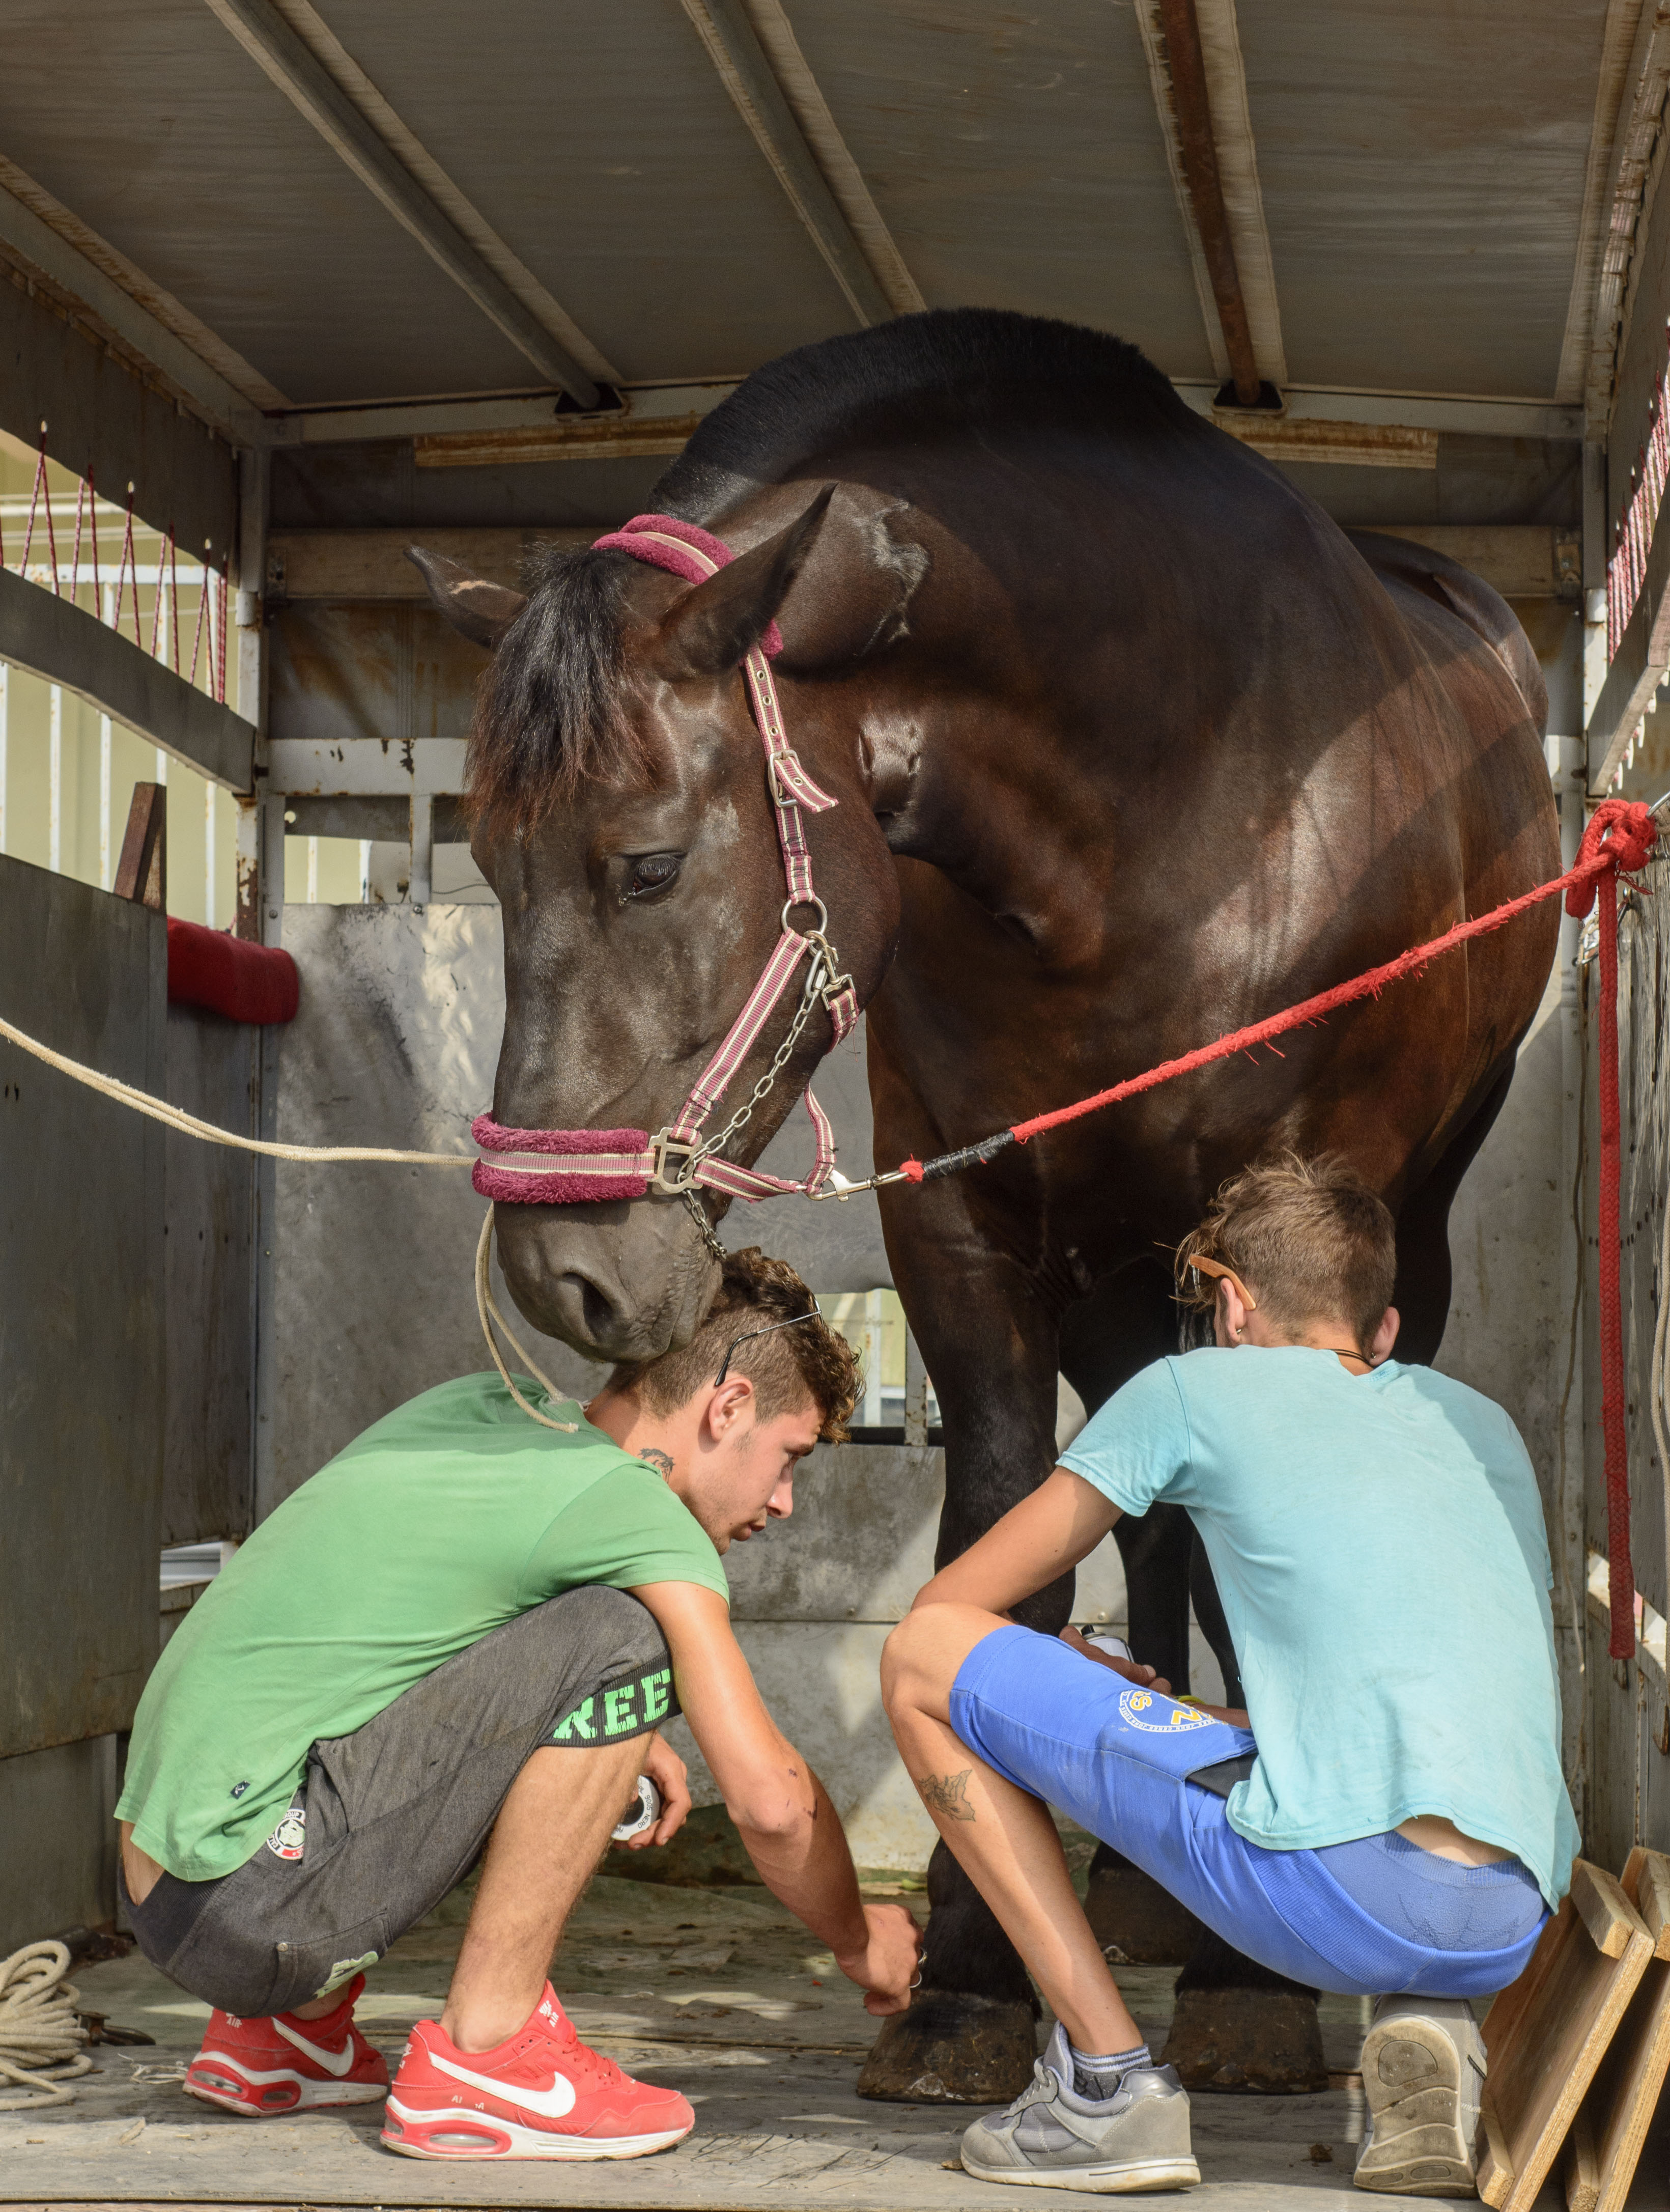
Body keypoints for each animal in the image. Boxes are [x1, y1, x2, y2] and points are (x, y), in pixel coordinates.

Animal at [411, 303, 1557, 2097]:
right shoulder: (962, 1236)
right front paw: (969, 1971)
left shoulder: (1269, 1233)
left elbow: (1245, 1562)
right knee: (1142, 1515)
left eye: (649, 861)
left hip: (1375, 1240)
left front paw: (1249, 1979)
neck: (1163, 801)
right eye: (489, 862)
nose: (561, 1269)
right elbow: (1005, 1541)